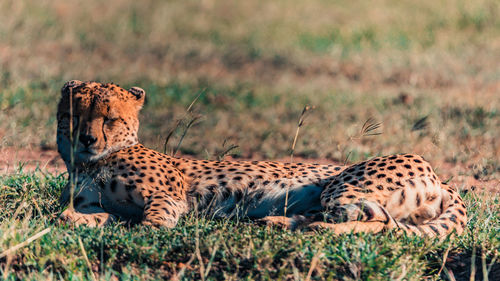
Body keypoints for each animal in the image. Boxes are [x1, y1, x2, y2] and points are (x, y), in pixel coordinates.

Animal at [56, 80, 466, 235]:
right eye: (74, 115)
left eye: (110, 118)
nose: (87, 139)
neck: (91, 163)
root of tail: (441, 176)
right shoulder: (97, 202)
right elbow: (86, 214)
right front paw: (77, 219)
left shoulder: (169, 197)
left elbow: (154, 217)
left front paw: (146, 230)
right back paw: (280, 222)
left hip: (342, 186)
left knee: (378, 222)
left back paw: (312, 229)